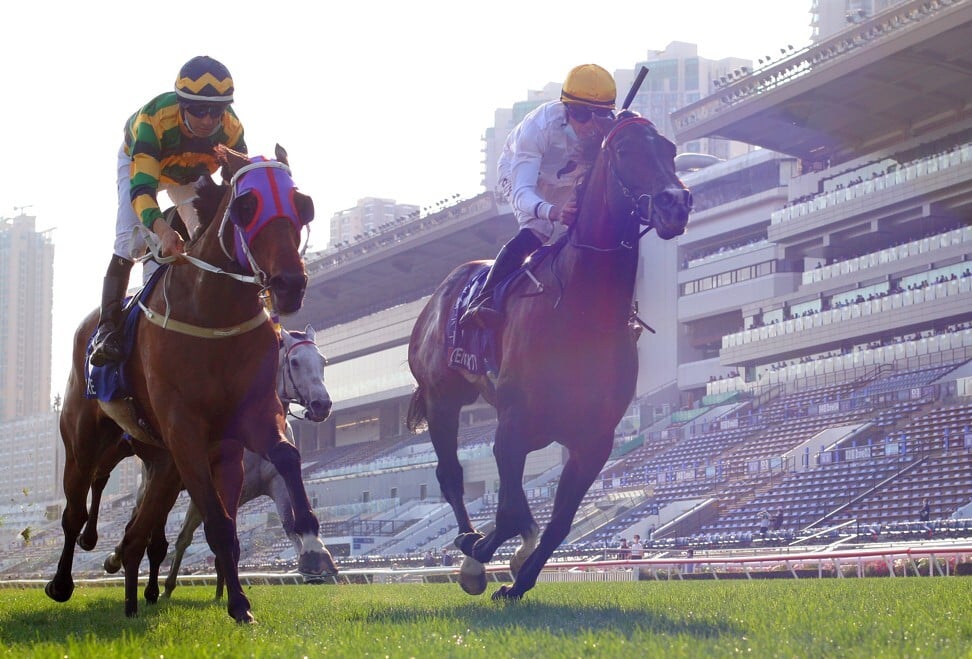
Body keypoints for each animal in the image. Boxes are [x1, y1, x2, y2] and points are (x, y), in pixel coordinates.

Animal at [47, 146, 326, 624]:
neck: (213, 312)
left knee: (137, 530)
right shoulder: (184, 430)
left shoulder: (244, 426)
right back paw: (67, 579)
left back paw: (129, 589)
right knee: (78, 506)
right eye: (246, 206)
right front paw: (237, 602)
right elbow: (215, 522)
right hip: (85, 440)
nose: (290, 283)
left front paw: (311, 542)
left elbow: (286, 459)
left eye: (302, 204)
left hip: (157, 459)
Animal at [404, 116, 692, 600]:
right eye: (625, 152)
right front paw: (482, 555)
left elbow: (556, 522)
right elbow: (508, 509)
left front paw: (518, 580)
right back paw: (469, 547)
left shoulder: (594, 440)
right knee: (451, 475)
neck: (581, 310)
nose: (677, 203)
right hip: (442, 398)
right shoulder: (514, 423)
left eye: (671, 150)